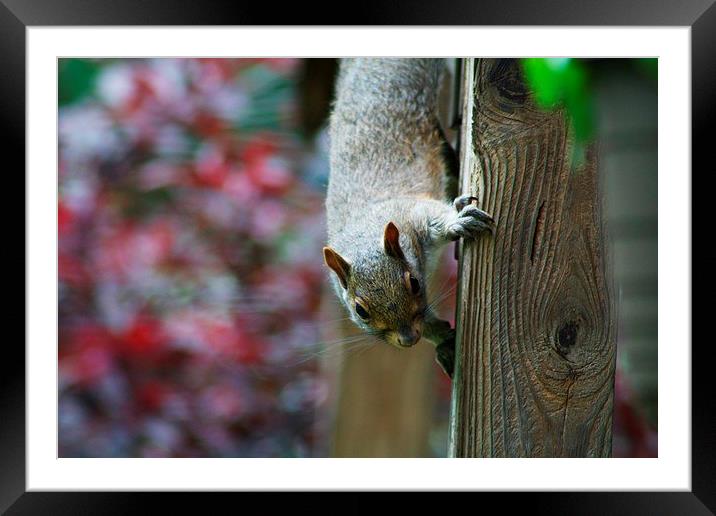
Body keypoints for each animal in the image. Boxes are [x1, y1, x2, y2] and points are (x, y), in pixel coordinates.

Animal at [324, 58, 492, 376]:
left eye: (414, 282)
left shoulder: (414, 214)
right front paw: (442, 338)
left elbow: (436, 216)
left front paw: (458, 220)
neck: (366, 228)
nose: (408, 338)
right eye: (360, 310)